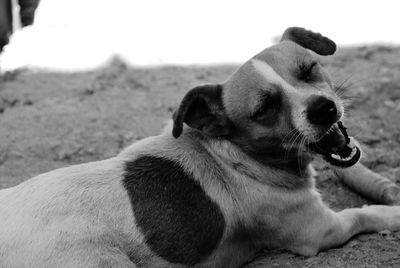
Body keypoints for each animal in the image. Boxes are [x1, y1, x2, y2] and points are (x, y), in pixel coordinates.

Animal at [0, 27, 400, 268]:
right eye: (265, 109)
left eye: (308, 69)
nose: (324, 108)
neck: (232, 154)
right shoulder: (320, 231)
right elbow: (364, 214)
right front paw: (392, 212)